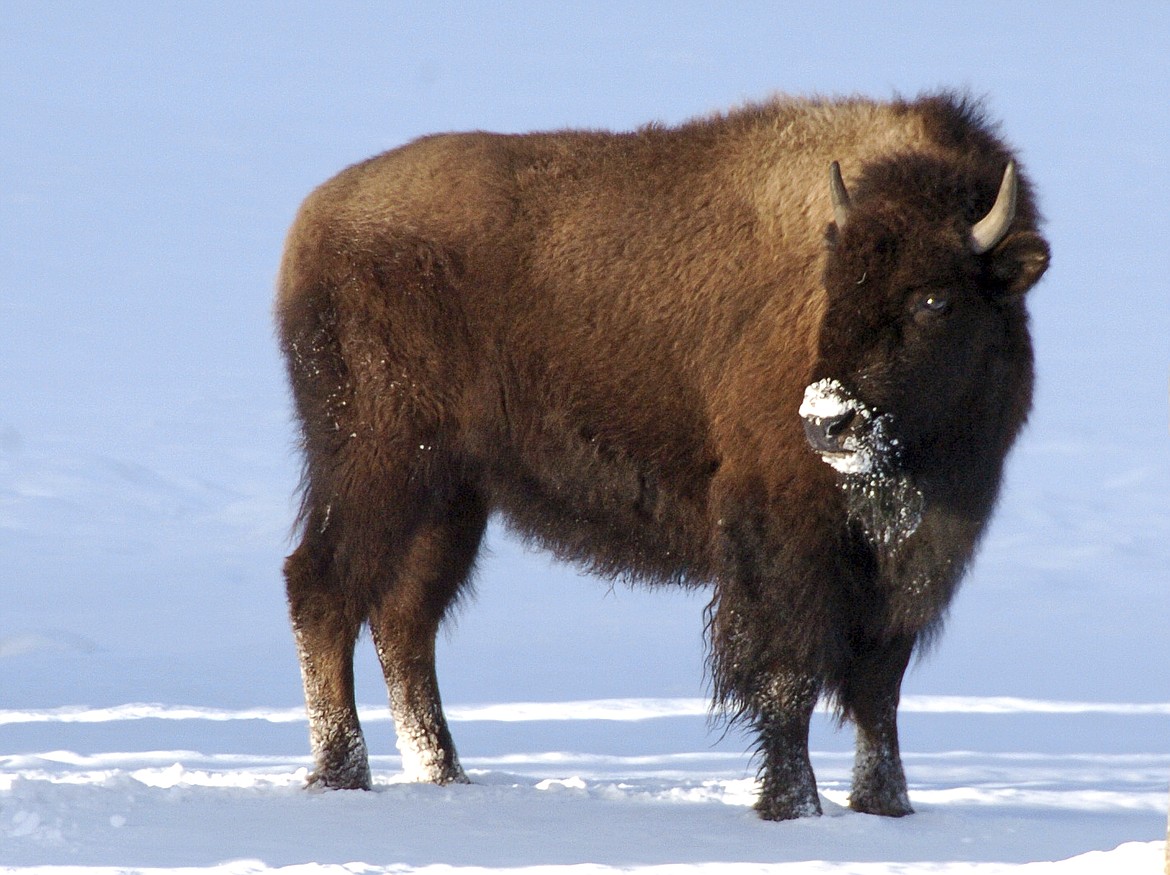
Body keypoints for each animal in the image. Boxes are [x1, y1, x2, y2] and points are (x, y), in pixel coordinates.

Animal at [276, 94, 1053, 818]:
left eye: (934, 299)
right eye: (834, 285)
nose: (829, 422)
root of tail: (315, 222)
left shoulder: (914, 558)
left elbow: (878, 687)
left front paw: (885, 806)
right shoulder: (782, 537)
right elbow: (788, 676)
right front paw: (791, 807)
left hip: (452, 497)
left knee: (404, 620)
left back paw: (445, 775)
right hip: (378, 465)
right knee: (323, 588)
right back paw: (345, 774)